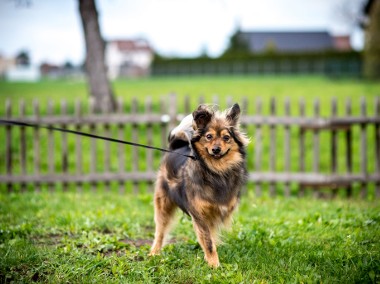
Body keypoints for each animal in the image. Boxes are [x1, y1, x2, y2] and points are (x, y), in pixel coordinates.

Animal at [148, 103, 249, 268]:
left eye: (226, 137)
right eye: (209, 136)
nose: (216, 149)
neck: (216, 171)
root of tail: (176, 146)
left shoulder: (216, 214)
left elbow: (211, 239)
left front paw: (210, 260)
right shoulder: (200, 215)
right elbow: (208, 242)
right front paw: (214, 265)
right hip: (163, 204)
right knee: (160, 231)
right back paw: (154, 253)